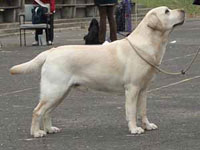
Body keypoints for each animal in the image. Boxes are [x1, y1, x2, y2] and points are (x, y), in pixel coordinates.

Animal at [9, 6, 184, 138]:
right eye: (167, 11)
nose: (183, 10)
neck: (148, 43)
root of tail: (50, 51)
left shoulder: (143, 89)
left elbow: (143, 110)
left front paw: (147, 125)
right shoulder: (132, 88)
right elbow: (132, 111)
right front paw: (134, 129)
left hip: (61, 92)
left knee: (47, 112)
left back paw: (50, 129)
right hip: (54, 90)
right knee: (37, 111)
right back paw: (36, 132)